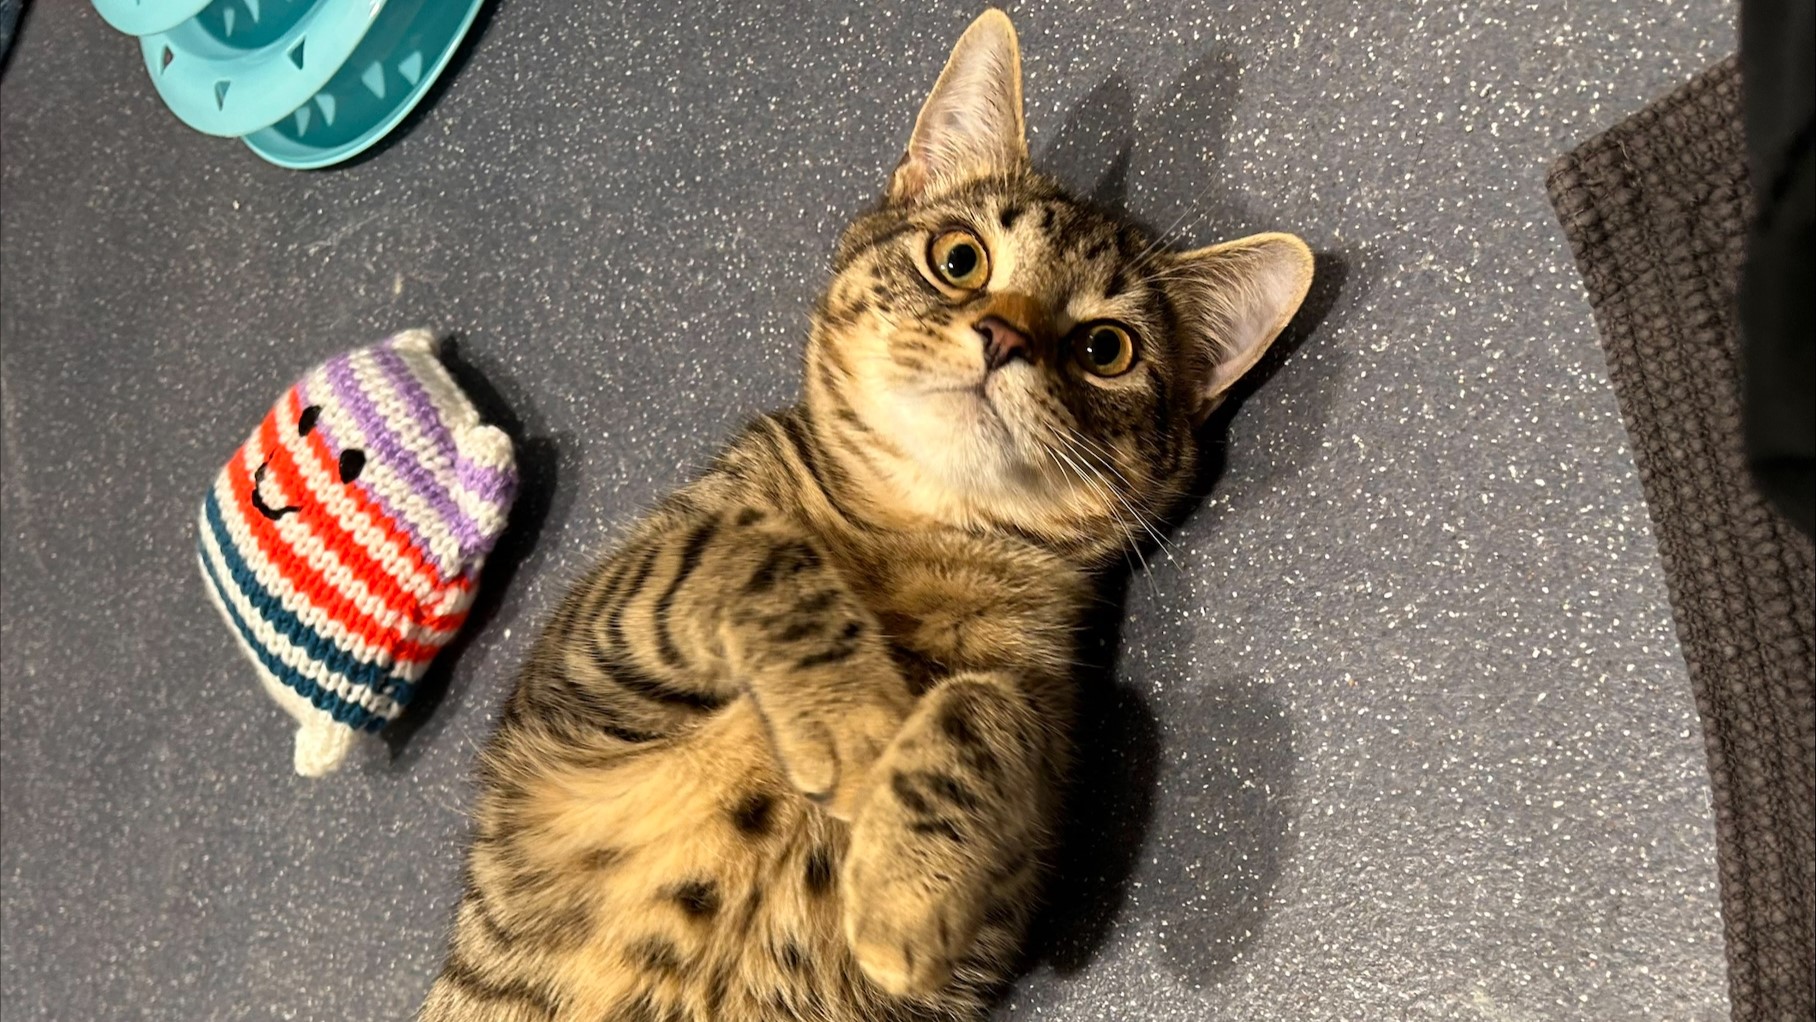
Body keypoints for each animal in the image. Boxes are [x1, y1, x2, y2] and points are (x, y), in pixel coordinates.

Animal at [418, 9, 1313, 1021]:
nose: (1003, 335)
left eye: (1106, 349)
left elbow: (988, 703)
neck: (909, 538)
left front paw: (904, 884)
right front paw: (849, 714)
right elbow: (743, 549)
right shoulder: (573, 683)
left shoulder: (1011, 878)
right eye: (960, 258)